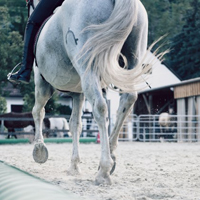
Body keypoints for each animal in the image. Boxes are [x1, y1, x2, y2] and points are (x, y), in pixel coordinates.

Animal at [31, 0, 150, 184]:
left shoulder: (42, 82)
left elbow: (38, 112)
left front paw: (39, 149)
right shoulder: (77, 92)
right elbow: (75, 124)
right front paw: (74, 166)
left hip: (88, 66)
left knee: (100, 107)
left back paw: (104, 169)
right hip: (132, 57)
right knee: (128, 99)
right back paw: (111, 157)